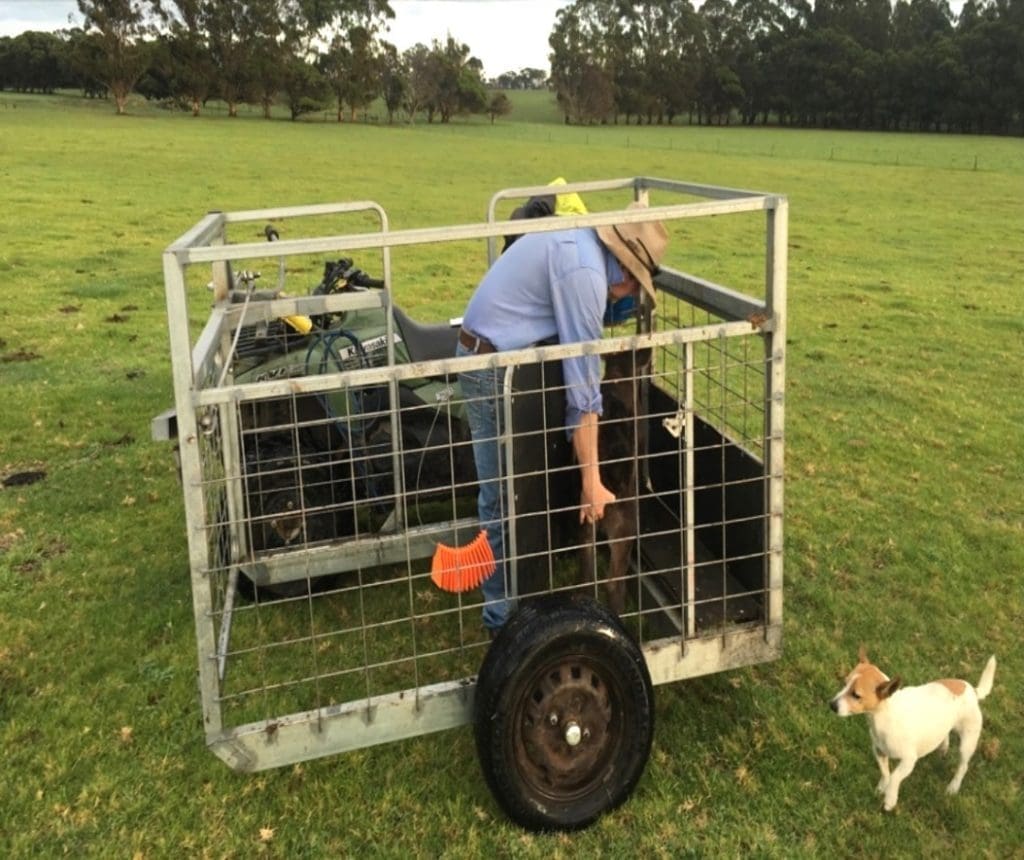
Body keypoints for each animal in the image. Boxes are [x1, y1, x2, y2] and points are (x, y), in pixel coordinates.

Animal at [827, 647, 995, 810]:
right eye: (844, 683)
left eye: (856, 695)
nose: (832, 705)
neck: (884, 715)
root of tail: (973, 690)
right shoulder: (879, 751)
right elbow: (885, 772)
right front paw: (882, 787)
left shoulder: (908, 760)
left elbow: (895, 777)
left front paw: (890, 799)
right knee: (944, 735)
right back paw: (942, 748)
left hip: (967, 743)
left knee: (963, 766)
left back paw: (953, 787)